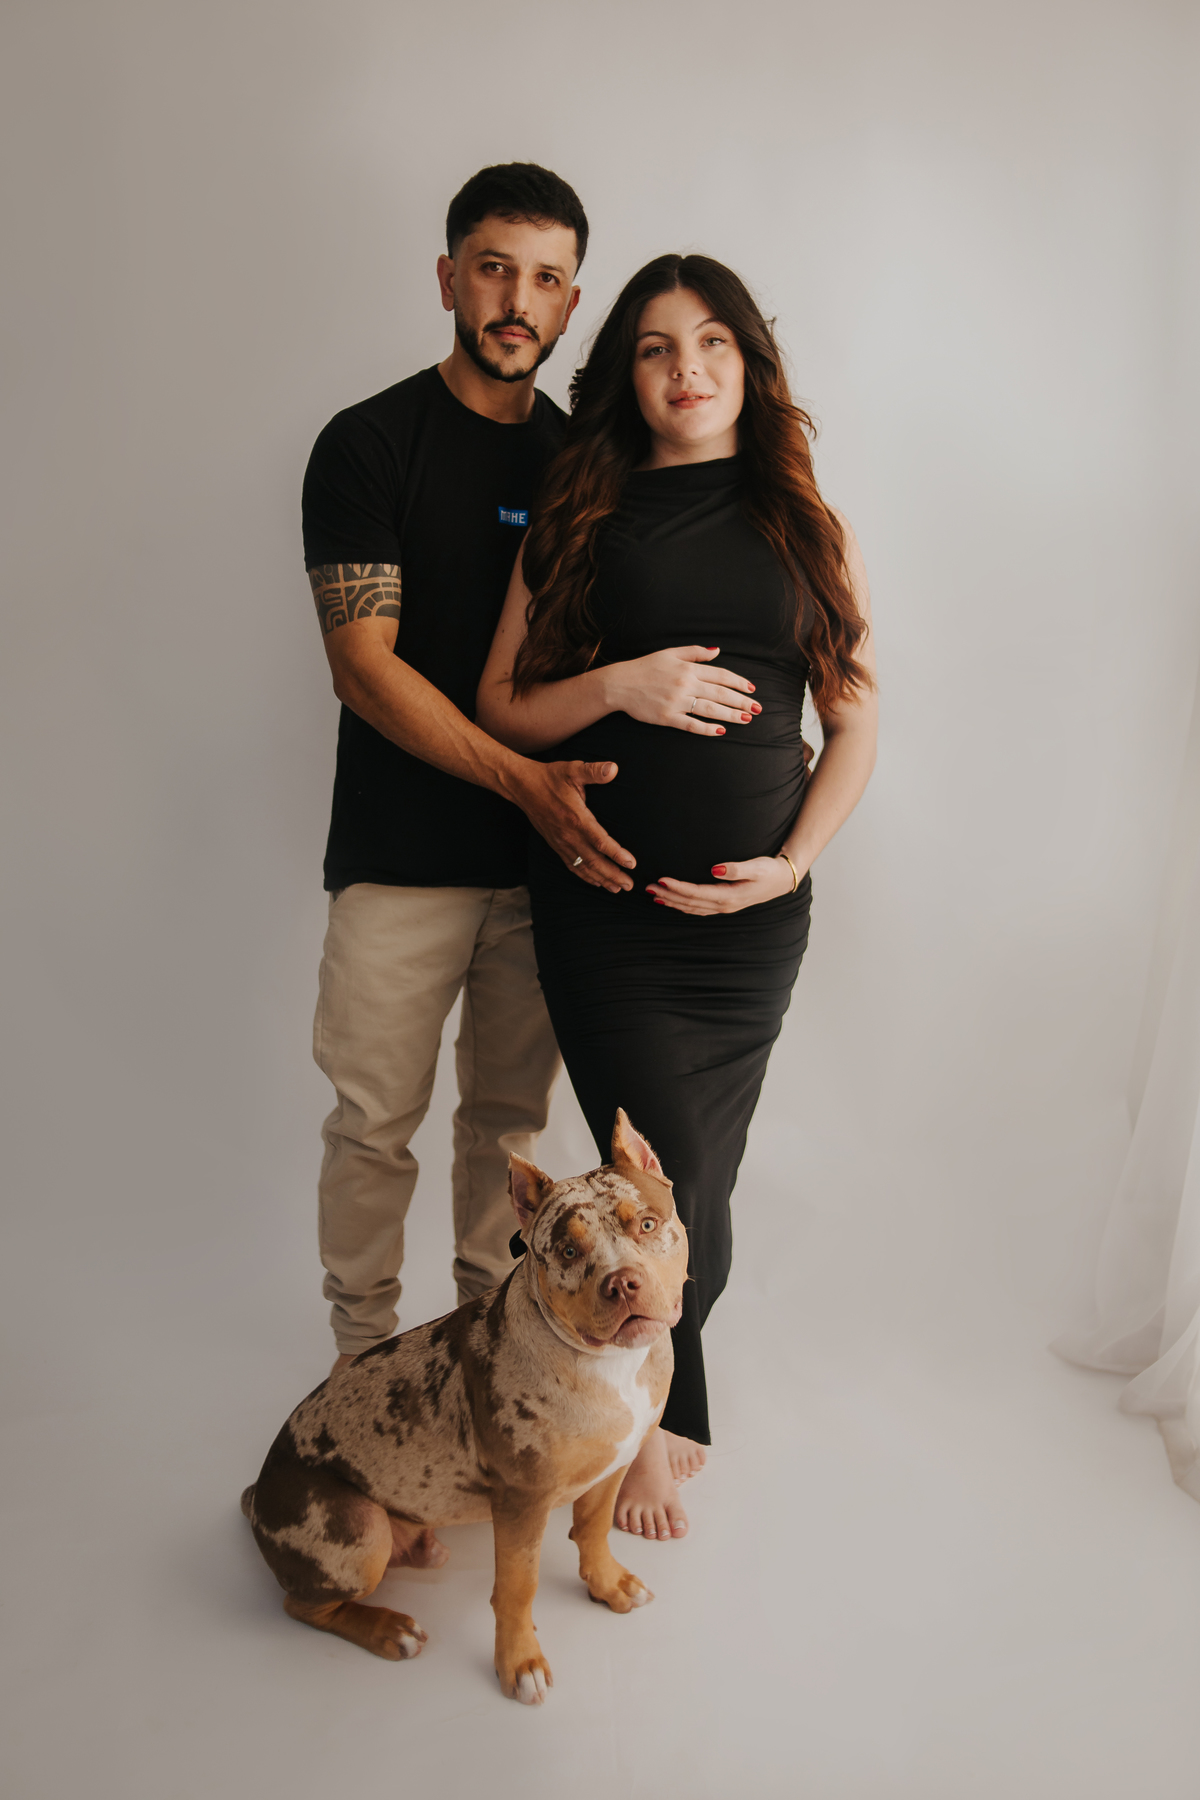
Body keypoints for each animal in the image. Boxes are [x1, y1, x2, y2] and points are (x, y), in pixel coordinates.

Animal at [241, 1109, 688, 1704]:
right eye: (568, 1252)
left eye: (647, 1224)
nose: (623, 1283)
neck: (608, 1364)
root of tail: (258, 1494)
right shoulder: (522, 1502)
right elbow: (518, 1586)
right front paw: (519, 1662)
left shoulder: (614, 1464)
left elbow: (593, 1532)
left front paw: (607, 1583)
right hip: (358, 1530)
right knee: (304, 1604)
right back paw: (389, 1629)